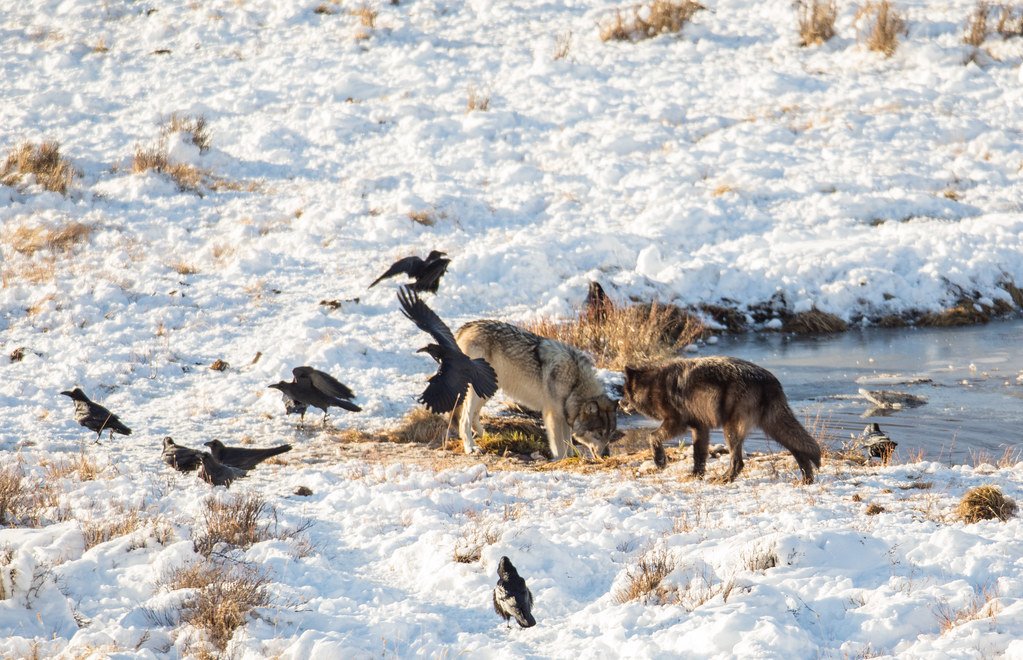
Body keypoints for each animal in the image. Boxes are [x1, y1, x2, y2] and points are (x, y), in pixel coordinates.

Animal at [454, 320, 618, 459]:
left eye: (610, 434)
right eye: (599, 433)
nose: (607, 455)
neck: (575, 383)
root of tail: (465, 328)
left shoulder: (564, 417)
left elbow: (568, 443)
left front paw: (571, 457)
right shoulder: (553, 416)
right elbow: (559, 446)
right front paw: (561, 460)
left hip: (487, 391)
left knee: (474, 416)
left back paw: (489, 437)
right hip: (476, 392)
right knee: (464, 419)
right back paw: (471, 448)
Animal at [621, 357, 821, 484]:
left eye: (624, 392)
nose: (620, 403)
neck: (652, 385)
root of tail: (769, 381)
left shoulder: (676, 422)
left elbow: (652, 436)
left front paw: (660, 461)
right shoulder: (700, 428)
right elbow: (699, 455)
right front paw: (696, 476)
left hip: (731, 430)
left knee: (738, 462)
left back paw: (724, 479)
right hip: (773, 427)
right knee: (798, 448)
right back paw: (807, 480)